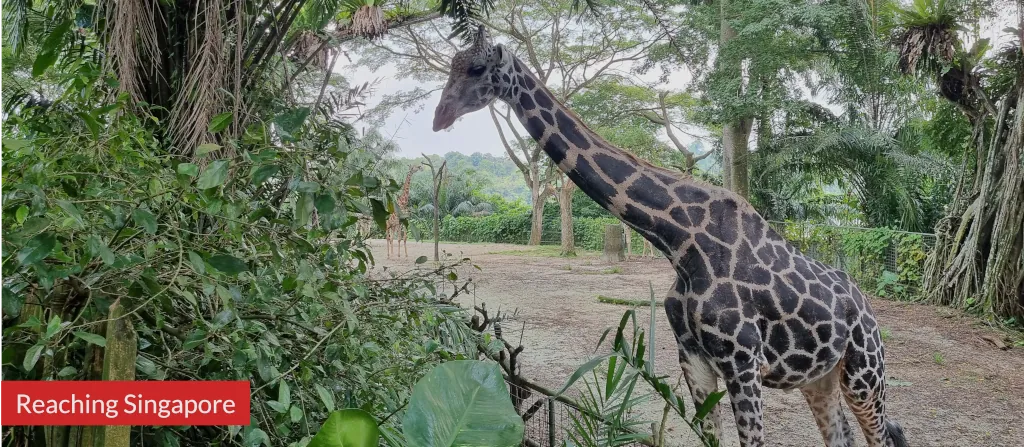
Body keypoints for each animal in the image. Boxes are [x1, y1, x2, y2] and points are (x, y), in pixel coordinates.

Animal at [431, 26, 907, 447]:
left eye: (477, 68)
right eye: (452, 65)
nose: (439, 118)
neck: (681, 244)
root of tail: (866, 306)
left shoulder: (743, 361)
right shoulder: (693, 357)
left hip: (864, 371)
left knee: (883, 435)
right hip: (819, 377)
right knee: (843, 435)